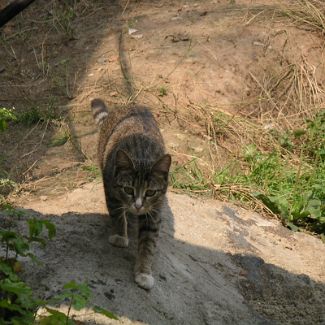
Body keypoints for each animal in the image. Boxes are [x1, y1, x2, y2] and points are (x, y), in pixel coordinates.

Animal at [88, 98, 170, 288]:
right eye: (128, 189)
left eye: (150, 192)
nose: (138, 206)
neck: (142, 155)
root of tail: (129, 104)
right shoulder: (111, 189)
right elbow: (117, 214)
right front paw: (120, 235)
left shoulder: (154, 211)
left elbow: (148, 243)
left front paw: (144, 272)